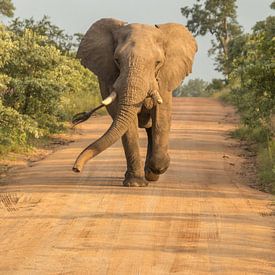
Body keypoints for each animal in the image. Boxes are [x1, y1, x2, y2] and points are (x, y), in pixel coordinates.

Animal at [73, 17, 198, 188]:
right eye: (117, 60)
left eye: (158, 62)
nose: (76, 168)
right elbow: (128, 126)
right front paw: (136, 183)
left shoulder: (165, 77)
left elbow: (162, 116)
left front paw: (157, 168)